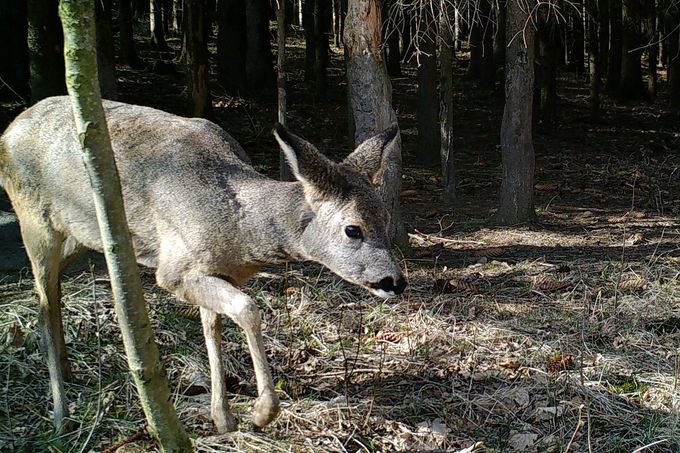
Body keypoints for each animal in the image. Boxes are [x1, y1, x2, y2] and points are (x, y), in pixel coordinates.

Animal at [0, 98, 404, 430]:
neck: (237, 228)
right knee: (42, 303)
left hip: (80, 237)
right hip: (33, 221)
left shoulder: (217, 271)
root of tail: (8, 130)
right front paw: (262, 412)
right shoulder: (174, 269)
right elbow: (247, 309)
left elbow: (213, 328)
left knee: (53, 293)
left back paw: (68, 373)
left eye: (387, 218)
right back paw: (60, 415)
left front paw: (222, 417)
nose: (394, 280)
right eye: (352, 229)